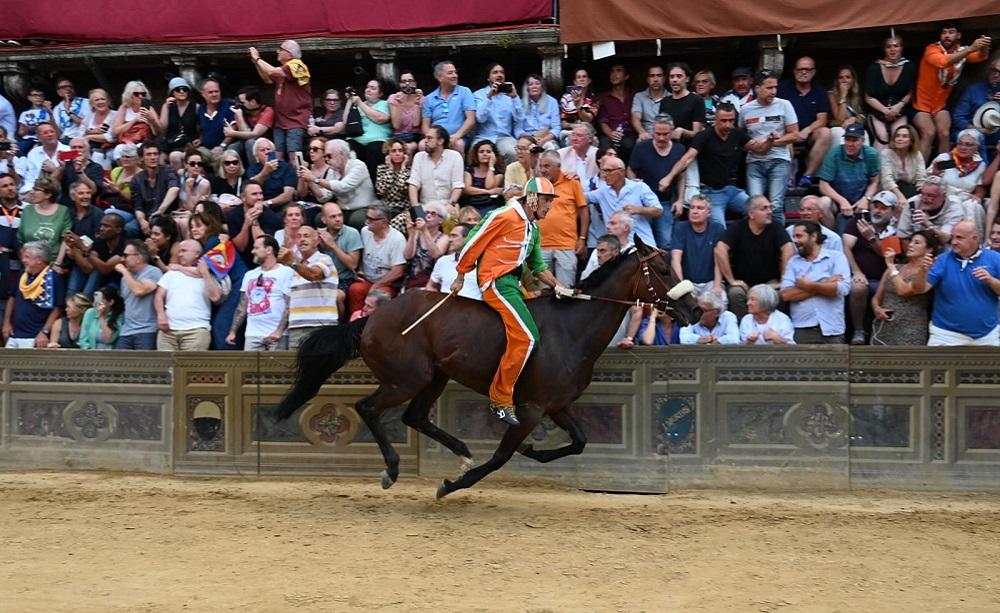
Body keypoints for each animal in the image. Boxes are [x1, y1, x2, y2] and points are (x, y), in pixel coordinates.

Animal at [274, 237, 696, 500]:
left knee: (414, 417)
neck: (571, 329)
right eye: (662, 268)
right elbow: (500, 458)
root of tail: (372, 318)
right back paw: (392, 470)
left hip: (434, 376)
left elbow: (579, 441)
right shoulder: (530, 409)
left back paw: (461, 452)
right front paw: (450, 484)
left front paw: (531, 450)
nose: (694, 309)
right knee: (368, 408)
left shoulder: (556, 405)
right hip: (406, 379)